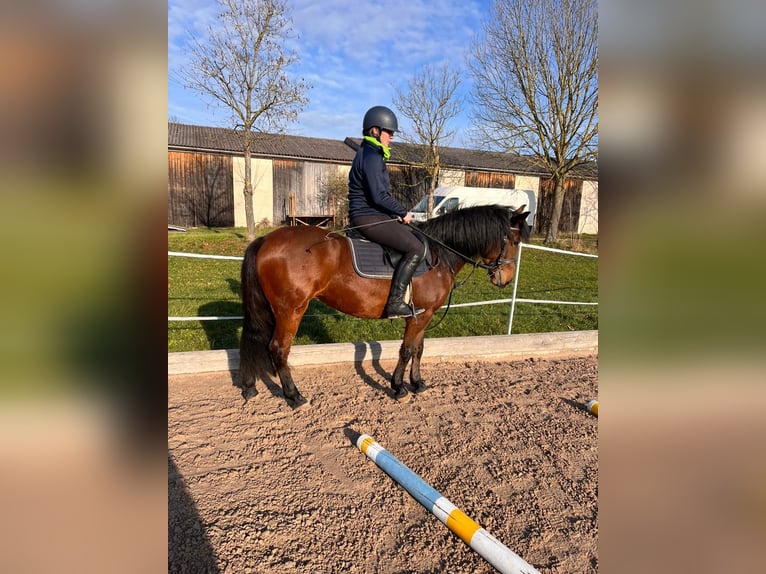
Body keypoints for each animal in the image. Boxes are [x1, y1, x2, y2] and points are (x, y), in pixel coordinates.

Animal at [240, 205, 536, 412]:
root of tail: (266, 241)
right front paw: (399, 387)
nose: (505, 279)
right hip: (291, 310)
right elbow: (406, 350)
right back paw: (294, 396)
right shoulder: (418, 316)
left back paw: (250, 386)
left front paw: (417, 383)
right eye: (513, 241)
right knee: (278, 349)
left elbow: (418, 349)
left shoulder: (425, 314)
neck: (440, 254)